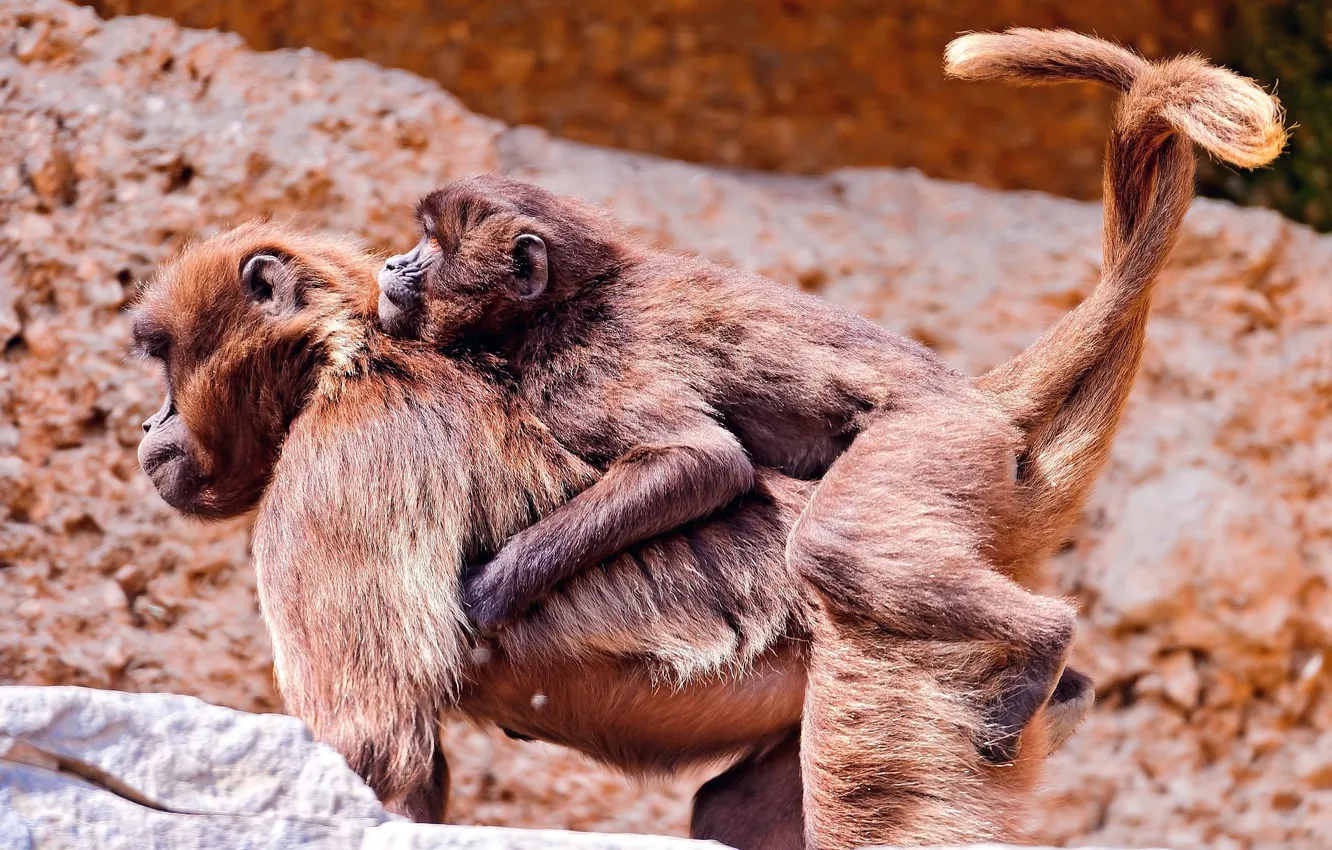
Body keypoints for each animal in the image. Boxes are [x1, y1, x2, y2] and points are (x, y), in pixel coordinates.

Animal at [132, 29, 1283, 850]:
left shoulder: (347, 451)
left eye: (161, 361)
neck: (354, 354)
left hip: (914, 639)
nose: (150, 426)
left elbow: (371, 749)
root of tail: (990, 423)